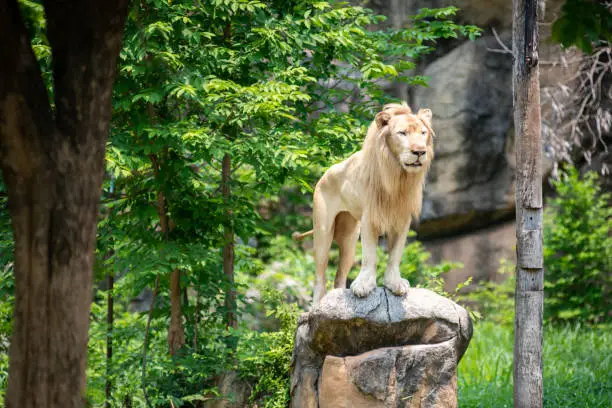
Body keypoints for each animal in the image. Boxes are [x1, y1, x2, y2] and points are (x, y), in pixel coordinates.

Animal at [292, 103, 432, 304]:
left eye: (423, 133)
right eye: (402, 133)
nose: (420, 152)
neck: (397, 176)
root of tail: (325, 174)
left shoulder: (401, 219)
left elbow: (395, 254)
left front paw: (394, 283)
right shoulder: (370, 218)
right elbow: (370, 255)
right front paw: (364, 286)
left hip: (349, 239)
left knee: (339, 276)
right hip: (323, 232)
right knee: (320, 276)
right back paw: (317, 307)